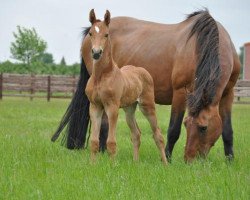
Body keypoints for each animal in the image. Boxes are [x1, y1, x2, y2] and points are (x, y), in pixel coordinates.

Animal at [85, 9, 167, 164]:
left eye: (106, 34)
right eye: (91, 33)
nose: (96, 52)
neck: (101, 76)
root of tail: (142, 70)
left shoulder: (112, 107)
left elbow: (111, 142)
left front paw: (112, 166)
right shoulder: (95, 107)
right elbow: (94, 141)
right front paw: (92, 165)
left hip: (147, 106)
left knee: (158, 134)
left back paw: (165, 164)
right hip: (129, 109)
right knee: (136, 134)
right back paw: (135, 162)